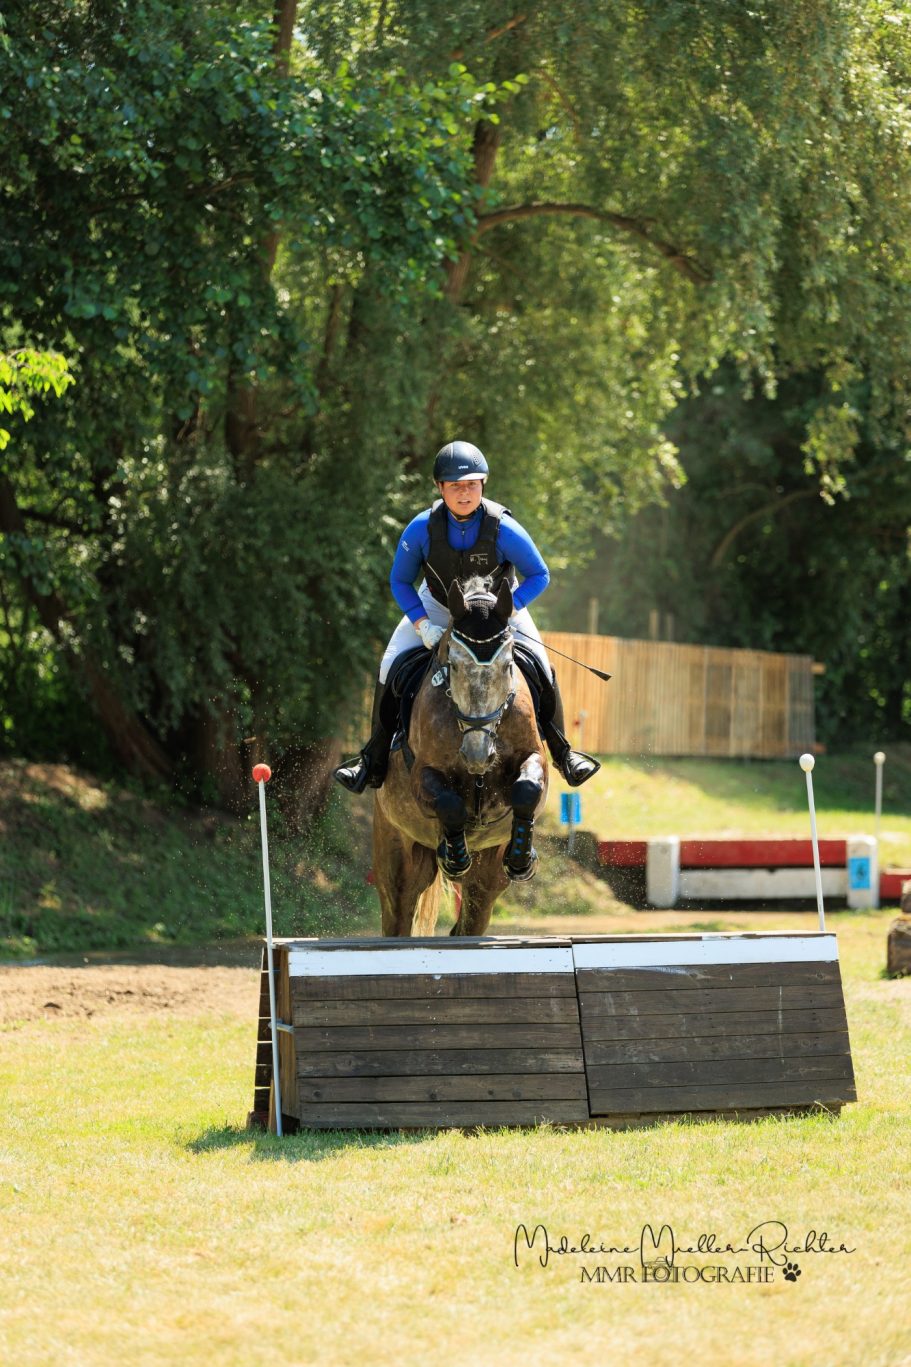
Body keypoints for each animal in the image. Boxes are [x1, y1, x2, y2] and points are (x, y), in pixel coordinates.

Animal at [372, 575, 548, 936]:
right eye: (453, 666)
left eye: (508, 666)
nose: (477, 754)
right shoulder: (422, 775)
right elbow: (450, 802)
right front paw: (454, 858)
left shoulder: (534, 758)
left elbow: (528, 789)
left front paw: (521, 858)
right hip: (396, 856)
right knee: (398, 916)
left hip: (487, 875)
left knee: (469, 921)